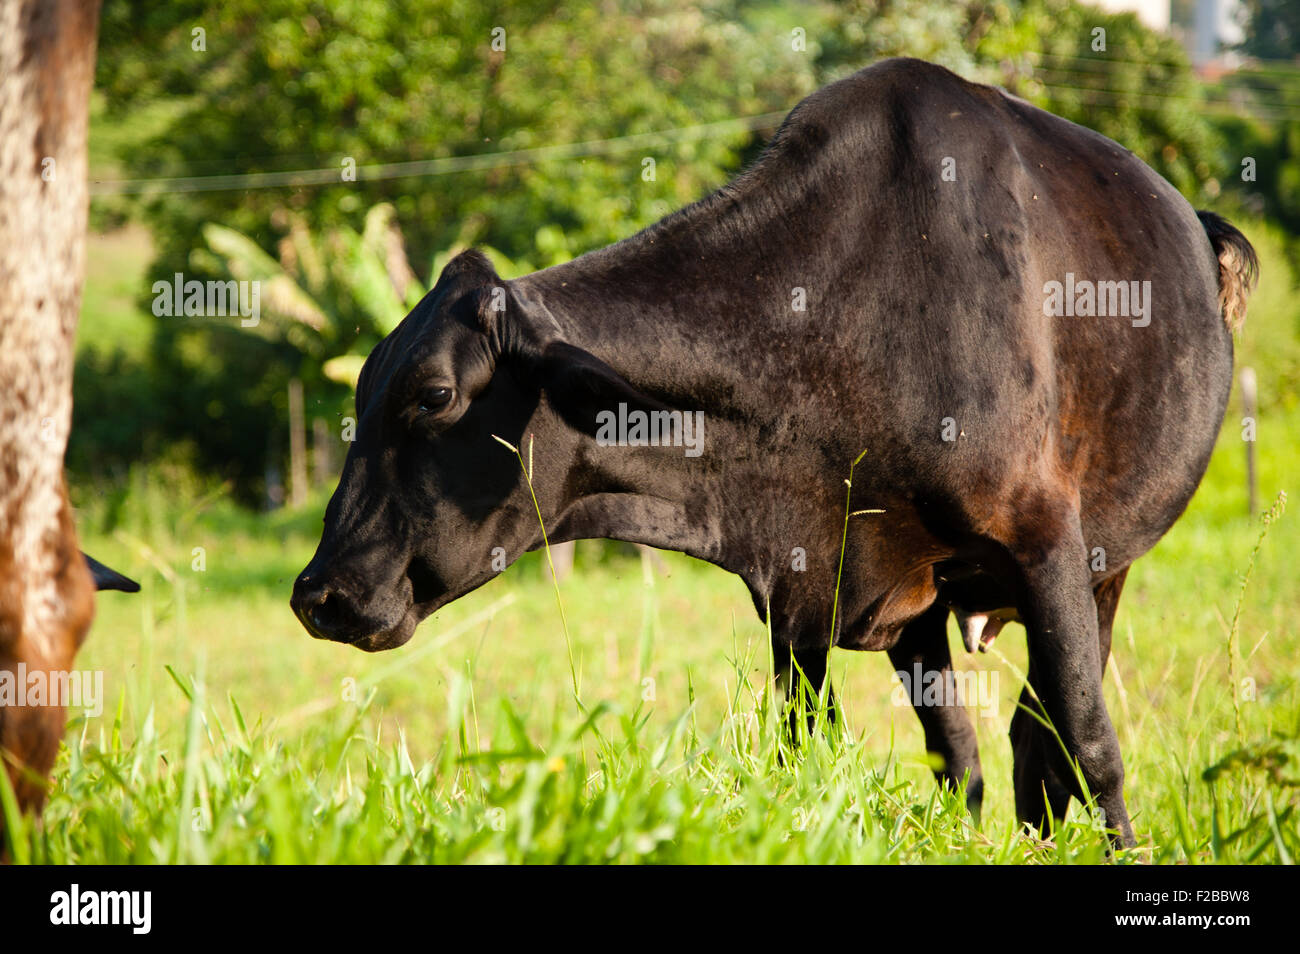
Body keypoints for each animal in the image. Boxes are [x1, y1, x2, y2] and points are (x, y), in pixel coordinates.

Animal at [292, 58, 1257, 849]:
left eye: (434, 395)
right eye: (360, 389)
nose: (319, 594)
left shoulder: (1046, 541)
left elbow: (1091, 744)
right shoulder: (801, 593)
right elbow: (822, 756)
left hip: (1104, 562)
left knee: (1040, 733)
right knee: (971, 753)